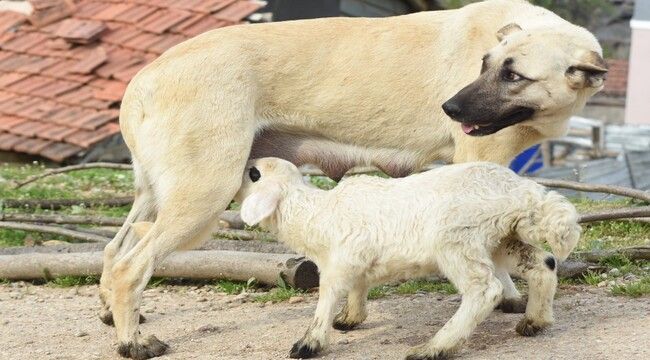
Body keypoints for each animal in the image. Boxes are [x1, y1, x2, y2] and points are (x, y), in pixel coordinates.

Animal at [233, 158, 576, 360]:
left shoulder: (339, 262)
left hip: (457, 238)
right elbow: (358, 286)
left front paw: (308, 344)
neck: (313, 213)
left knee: (484, 290)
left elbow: (326, 299)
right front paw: (350, 318)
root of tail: (523, 191)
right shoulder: (357, 259)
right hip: (500, 239)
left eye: (254, 173)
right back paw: (535, 321)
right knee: (544, 263)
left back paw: (434, 348)